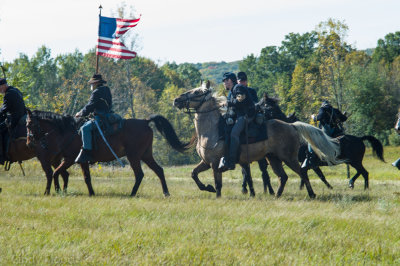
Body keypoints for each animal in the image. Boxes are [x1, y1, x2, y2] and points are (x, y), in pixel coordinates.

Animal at [27, 109, 189, 196]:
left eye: (29, 124)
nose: (29, 143)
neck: (69, 131)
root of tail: (144, 121)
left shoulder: (71, 159)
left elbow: (56, 173)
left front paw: (55, 191)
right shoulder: (78, 161)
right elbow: (85, 177)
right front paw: (90, 193)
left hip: (134, 156)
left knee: (139, 174)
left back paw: (132, 194)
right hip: (146, 155)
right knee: (159, 170)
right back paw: (166, 193)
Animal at [173, 82, 346, 198]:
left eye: (197, 92)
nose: (176, 100)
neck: (212, 131)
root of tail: (292, 126)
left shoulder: (215, 164)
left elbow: (218, 184)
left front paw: (216, 194)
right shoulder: (206, 162)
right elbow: (193, 174)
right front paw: (207, 188)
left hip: (288, 158)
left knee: (302, 172)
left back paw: (311, 194)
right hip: (273, 158)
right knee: (283, 177)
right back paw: (277, 195)